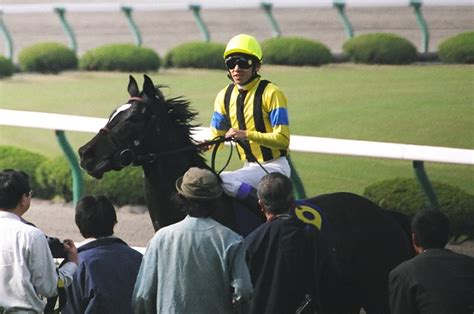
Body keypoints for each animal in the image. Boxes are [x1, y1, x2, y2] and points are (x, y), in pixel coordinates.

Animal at [79, 75, 412, 312]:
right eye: (113, 113)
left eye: (135, 117)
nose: (86, 154)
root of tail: (384, 213)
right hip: (341, 297)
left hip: (377, 293)